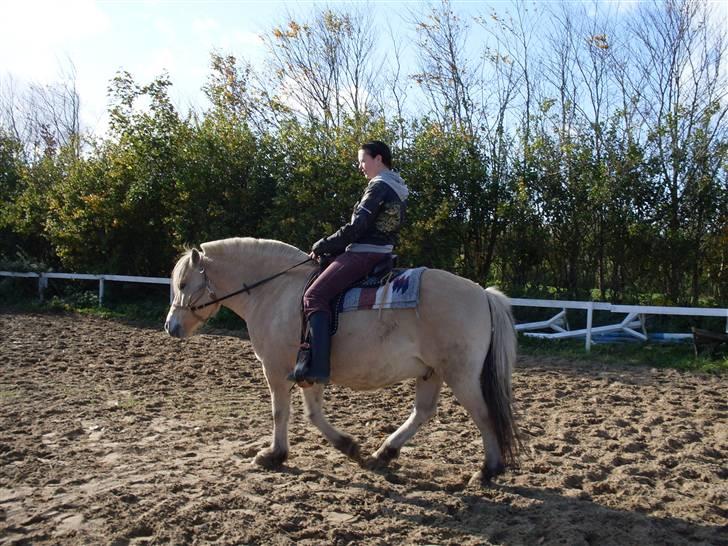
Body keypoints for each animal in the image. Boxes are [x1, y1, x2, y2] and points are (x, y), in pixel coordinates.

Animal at [164, 237, 520, 480]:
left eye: (183, 283)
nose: (171, 327)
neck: (276, 292)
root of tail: (482, 293)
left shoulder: (276, 369)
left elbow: (280, 413)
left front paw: (274, 454)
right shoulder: (307, 370)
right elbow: (313, 414)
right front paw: (348, 446)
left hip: (461, 375)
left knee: (484, 415)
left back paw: (488, 469)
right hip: (432, 372)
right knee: (423, 412)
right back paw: (384, 453)